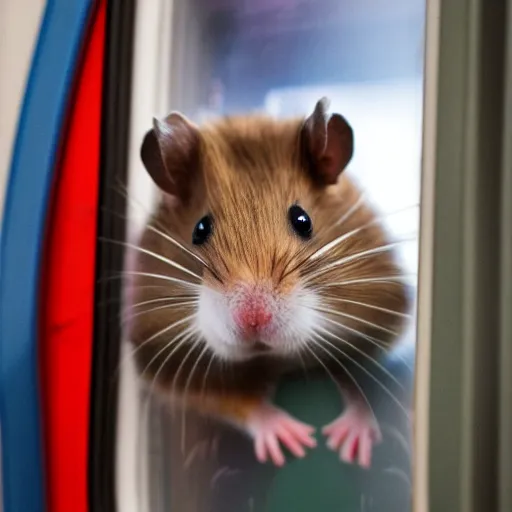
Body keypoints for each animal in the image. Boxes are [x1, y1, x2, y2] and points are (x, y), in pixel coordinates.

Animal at [128, 98, 412, 470]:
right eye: (199, 229)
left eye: (302, 220)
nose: (254, 320)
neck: (273, 360)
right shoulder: (171, 365)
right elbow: (239, 403)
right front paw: (294, 442)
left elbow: (355, 381)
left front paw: (350, 447)